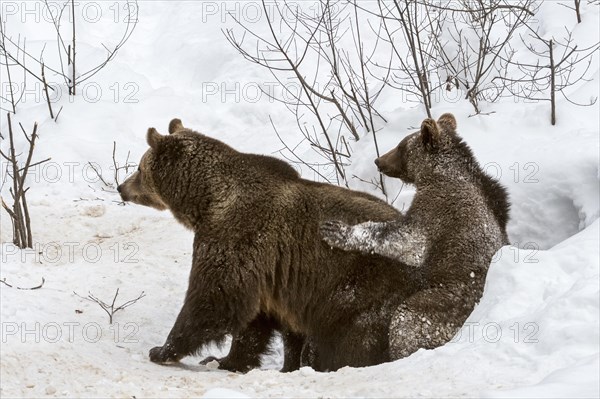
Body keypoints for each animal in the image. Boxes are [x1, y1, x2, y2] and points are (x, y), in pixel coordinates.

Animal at [117, 119, 420, 372]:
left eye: (139, 168)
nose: (121, 187)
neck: (208, 200)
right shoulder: (269, 271)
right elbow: (255, 321)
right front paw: (229, 360)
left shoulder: (236, 236)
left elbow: (213, 297)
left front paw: (163, 350)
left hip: (360, 286)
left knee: (352, 335)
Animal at [322, 113, 508, 360]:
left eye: (401, 146)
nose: (379, 161)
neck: (435, 174)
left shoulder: (437, 210)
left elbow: (407, 239)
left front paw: (338, 231)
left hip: (444, 302)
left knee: (407, 317)